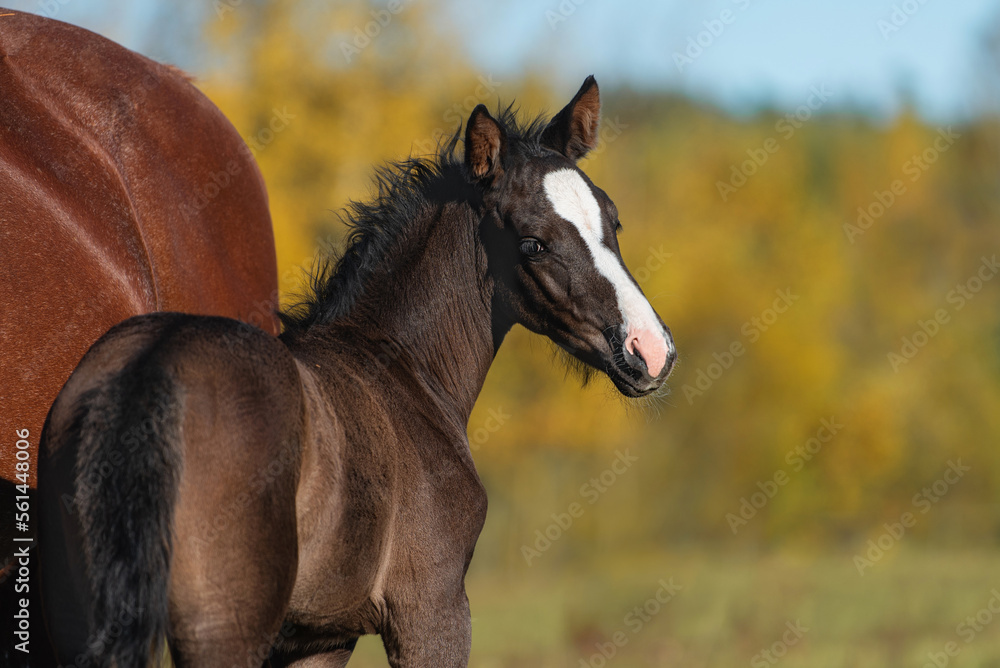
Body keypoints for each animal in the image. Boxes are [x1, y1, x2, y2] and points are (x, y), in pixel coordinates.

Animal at [39, 78, 680, 668]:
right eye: (533, 243)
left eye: (614, 221)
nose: (649, 350)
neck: (401, 366)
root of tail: (148, 371)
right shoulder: (431, 611)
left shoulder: (321, 636)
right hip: (223, 630)